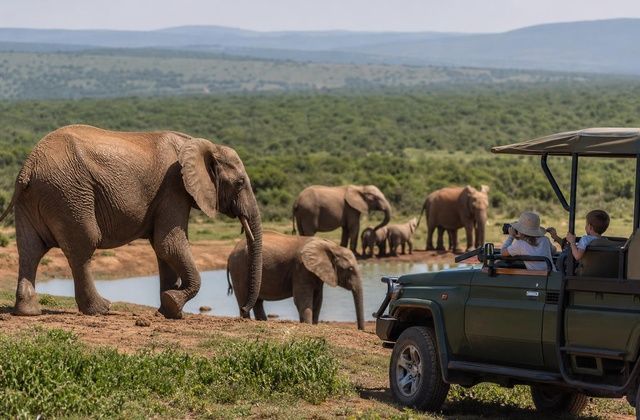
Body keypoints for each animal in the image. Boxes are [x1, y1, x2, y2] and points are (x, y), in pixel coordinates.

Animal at [0, 124, 262, 319]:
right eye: (240, 183)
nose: (244, 310)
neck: (202, 144)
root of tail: (28, 166)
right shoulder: (174, 188)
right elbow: (169, 243)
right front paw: (173, 303)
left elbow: (162, 250)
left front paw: (167, 311)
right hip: (69, 193)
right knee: (82, 246)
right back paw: (101, 309)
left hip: (37, 196)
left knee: (30, 249)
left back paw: (28, 312)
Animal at [227, 231, 364, 330]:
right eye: (350, 269)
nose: (360, 329)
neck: (332, 246)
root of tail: (231, 253)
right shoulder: (301, 268)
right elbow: (302, 300)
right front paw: (308, 325)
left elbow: (318, 300)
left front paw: (313, 325)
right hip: (239, 268)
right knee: (244, 298)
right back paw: (246, 320)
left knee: (257, 301)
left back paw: (262, 321)